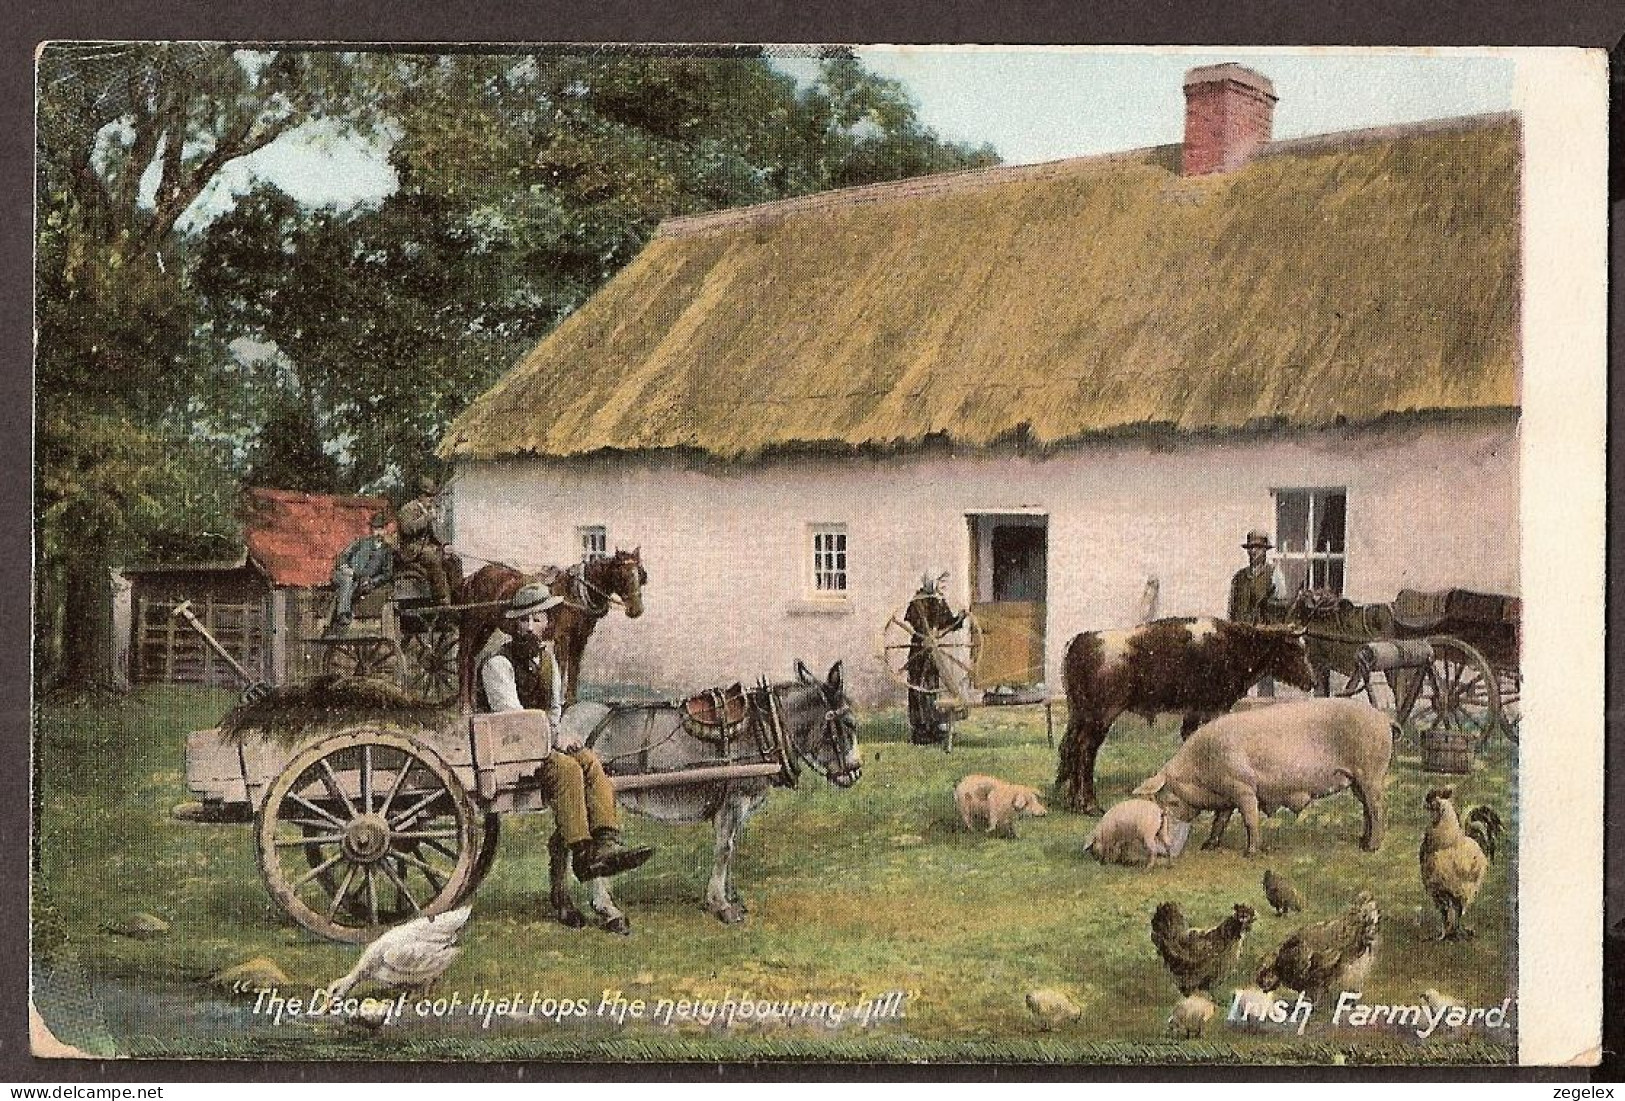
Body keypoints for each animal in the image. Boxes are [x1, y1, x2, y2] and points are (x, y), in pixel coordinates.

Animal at [458, 548, 646, 708]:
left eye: (641, 574)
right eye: (621, 575)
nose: (636, 610)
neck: (575, 593)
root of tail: (472, 577)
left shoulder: (580, 639)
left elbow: (574, 669)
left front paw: (571, 703)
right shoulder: (562, 637)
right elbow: (562, 668)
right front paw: (560, 702)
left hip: (486, 628)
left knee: (473, 658)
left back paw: (473, 703)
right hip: (472, 626)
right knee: (464, 657)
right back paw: (465, 705)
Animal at [1053, 626, 1319, 815]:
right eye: (1296, 650)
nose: (1313, 681)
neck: (1233, 645)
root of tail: (1080, 640)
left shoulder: (1194, 711)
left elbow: (1190, 739)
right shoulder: (1214, 707)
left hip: (1079, 715)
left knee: (1069, 748)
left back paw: (1070, 801)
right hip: (1101, 717)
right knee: (1085, 751)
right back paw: (1089, 805)